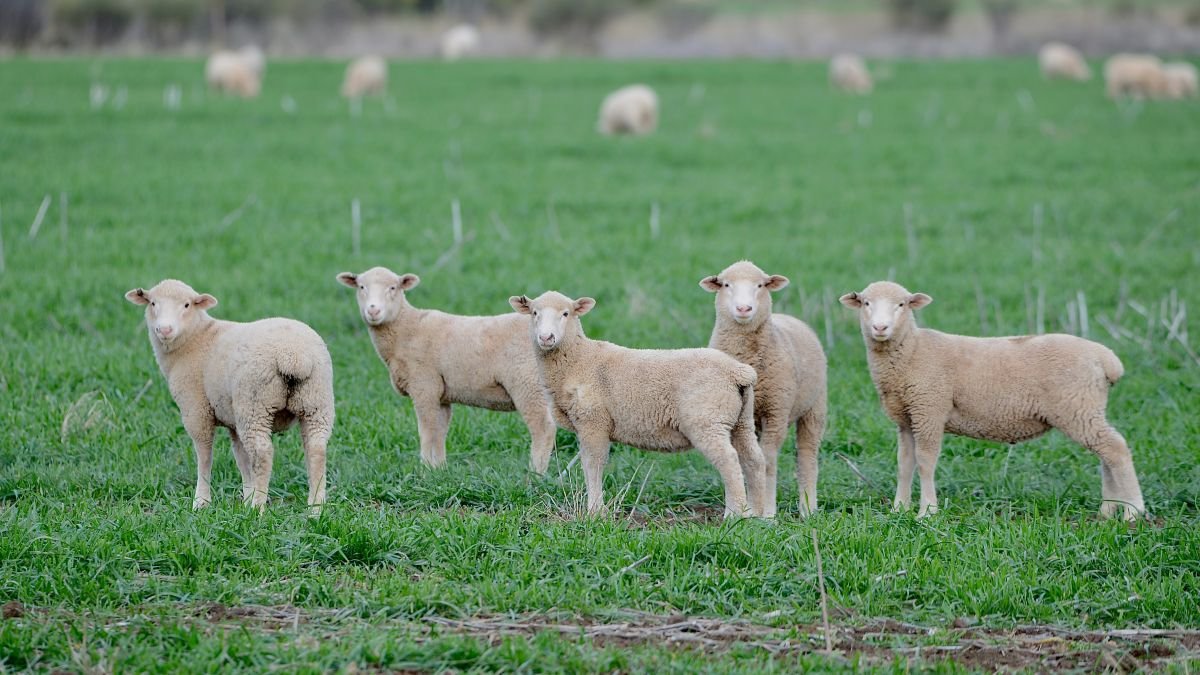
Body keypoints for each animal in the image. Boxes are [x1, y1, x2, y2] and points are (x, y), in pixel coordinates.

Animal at [125, 280, 333, 512]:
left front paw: (201, 501)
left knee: (262, 453)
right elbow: (241, 458)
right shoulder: (233, 419)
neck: (195, 339)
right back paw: (315, 508)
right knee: (316, 449)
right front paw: (246, 497)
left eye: (187, 305)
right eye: (152, 303)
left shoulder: (196, 410)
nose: (164, 329)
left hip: (255, 404)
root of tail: (294, 356)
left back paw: (258, 509)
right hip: (316, 402)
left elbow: (205, 455)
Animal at [336, 267, 556, 473]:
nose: (373, 311)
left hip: (526, 382)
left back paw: (536, 473)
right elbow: (439, 431)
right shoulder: (441, 394)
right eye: (361, 287)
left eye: (393, 288)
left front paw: (424, 469)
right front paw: (439, 469)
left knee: (543, 427)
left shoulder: (424, 385)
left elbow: (427, 430)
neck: (406, 329)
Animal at [509, 292, 767, 518]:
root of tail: (737, 371)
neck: (578, 360)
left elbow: (592, 464)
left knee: (730, 461)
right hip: (741, 421)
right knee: (754, 460)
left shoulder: (594, 421)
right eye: (534, 313)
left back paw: (734, 515)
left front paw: (595, 512)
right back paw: (758, 515)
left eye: (565, 313)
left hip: (708, 420)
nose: (546, 338)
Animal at [701, 261, 827, 517]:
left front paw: (767, 513)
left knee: (807, 456)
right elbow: (743, 460)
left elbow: (767, 461)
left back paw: (808, 509)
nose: (744, 308)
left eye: (760, 285)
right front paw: (744, 510)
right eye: (726, 284)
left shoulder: (776, 412)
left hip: (814, 407)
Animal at [840, 281, 1145, 521]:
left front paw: (927, 512)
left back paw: (1133, 513)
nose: (880, 327)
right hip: (1086, 409)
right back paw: (1107, 512)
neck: (913, 351)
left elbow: (925, 462)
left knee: (1116, 450)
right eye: (866, 302)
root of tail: (1106, 358)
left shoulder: (929, 409)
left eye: (901, 304)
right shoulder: (906, 417)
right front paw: (898, 509)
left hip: (1077, 407)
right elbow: (904, 463)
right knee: (1106, 455)